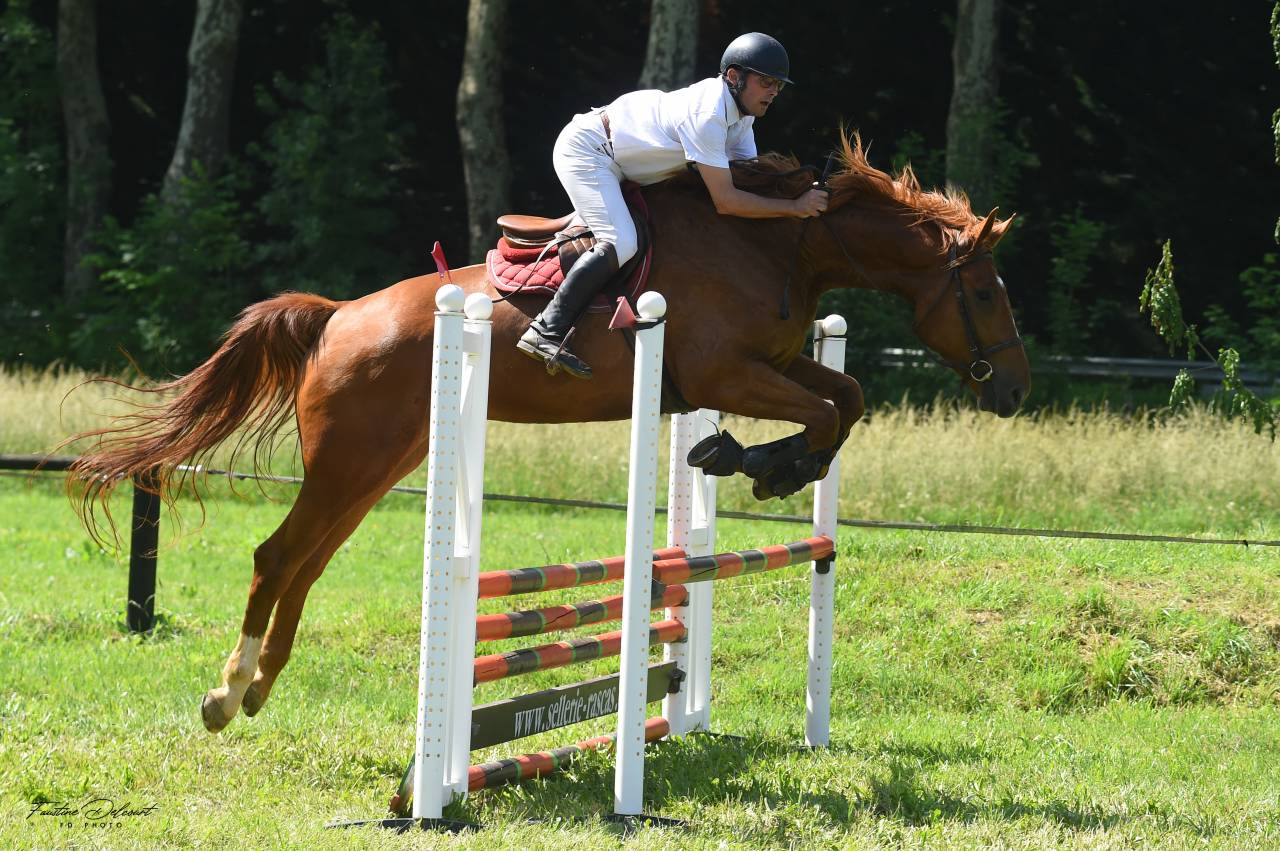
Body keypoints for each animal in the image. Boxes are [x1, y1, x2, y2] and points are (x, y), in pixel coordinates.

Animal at [66, 131, 1029, 734]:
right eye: (986, 292)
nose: (1016, 390)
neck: (780, 246)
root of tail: (338, 315)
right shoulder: (724, 374)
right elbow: (829, 409)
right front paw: (756, 461)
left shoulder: (773, 364)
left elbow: (848, 395)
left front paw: (760, 461)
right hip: (348, 462)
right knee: (277, 556)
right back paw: (227, 692)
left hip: (377, 465)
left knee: (307, 562)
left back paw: (258, 686)